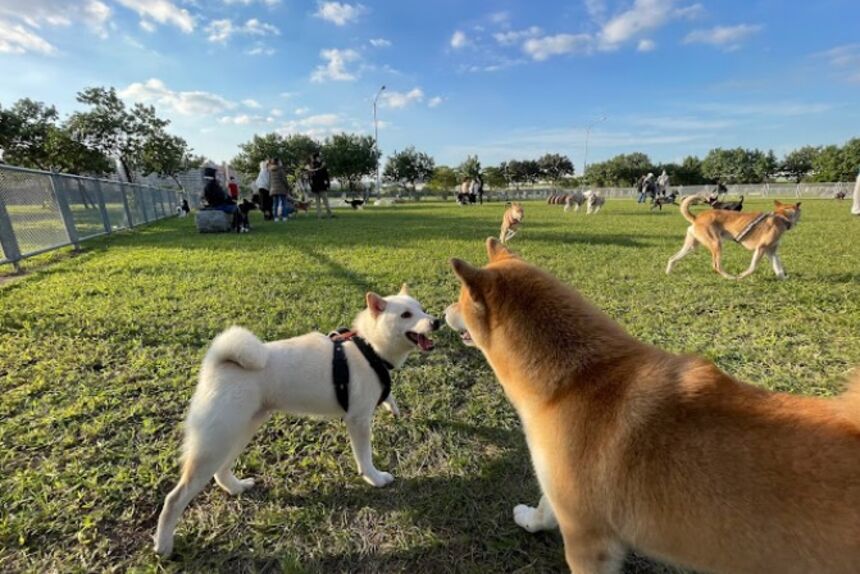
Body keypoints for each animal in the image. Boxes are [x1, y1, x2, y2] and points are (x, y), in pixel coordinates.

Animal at [444, 237, 860, 574]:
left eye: (460, 300)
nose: (441, 313)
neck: (579, 377)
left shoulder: (588, 540)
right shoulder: (566, 497)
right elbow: (546, 507)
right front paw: (530, 520)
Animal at [668, 196, 804, 282]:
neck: (781, 216)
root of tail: (696, 218)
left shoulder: (772, 252)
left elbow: (778, 268)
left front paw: (784, 279)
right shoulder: (761, 248)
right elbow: (752, 268)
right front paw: (742, 276)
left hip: (691, 246)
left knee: (672, 258)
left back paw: (668, 273)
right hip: (716, 244)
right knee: (716, 266)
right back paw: (731, 278)